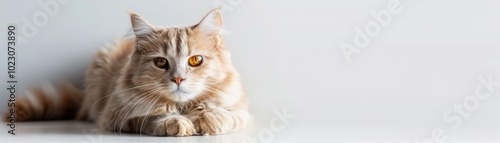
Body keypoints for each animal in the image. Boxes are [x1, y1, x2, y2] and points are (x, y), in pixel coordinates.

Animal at [3, 8, 252, 136]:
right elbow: (152, 116)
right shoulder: (118, 116)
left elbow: (223, 115)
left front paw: (204, 121)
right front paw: (176, 123)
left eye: (195, 60)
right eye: (161, 62)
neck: (182, 107)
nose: (178, 78)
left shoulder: (242, 112)